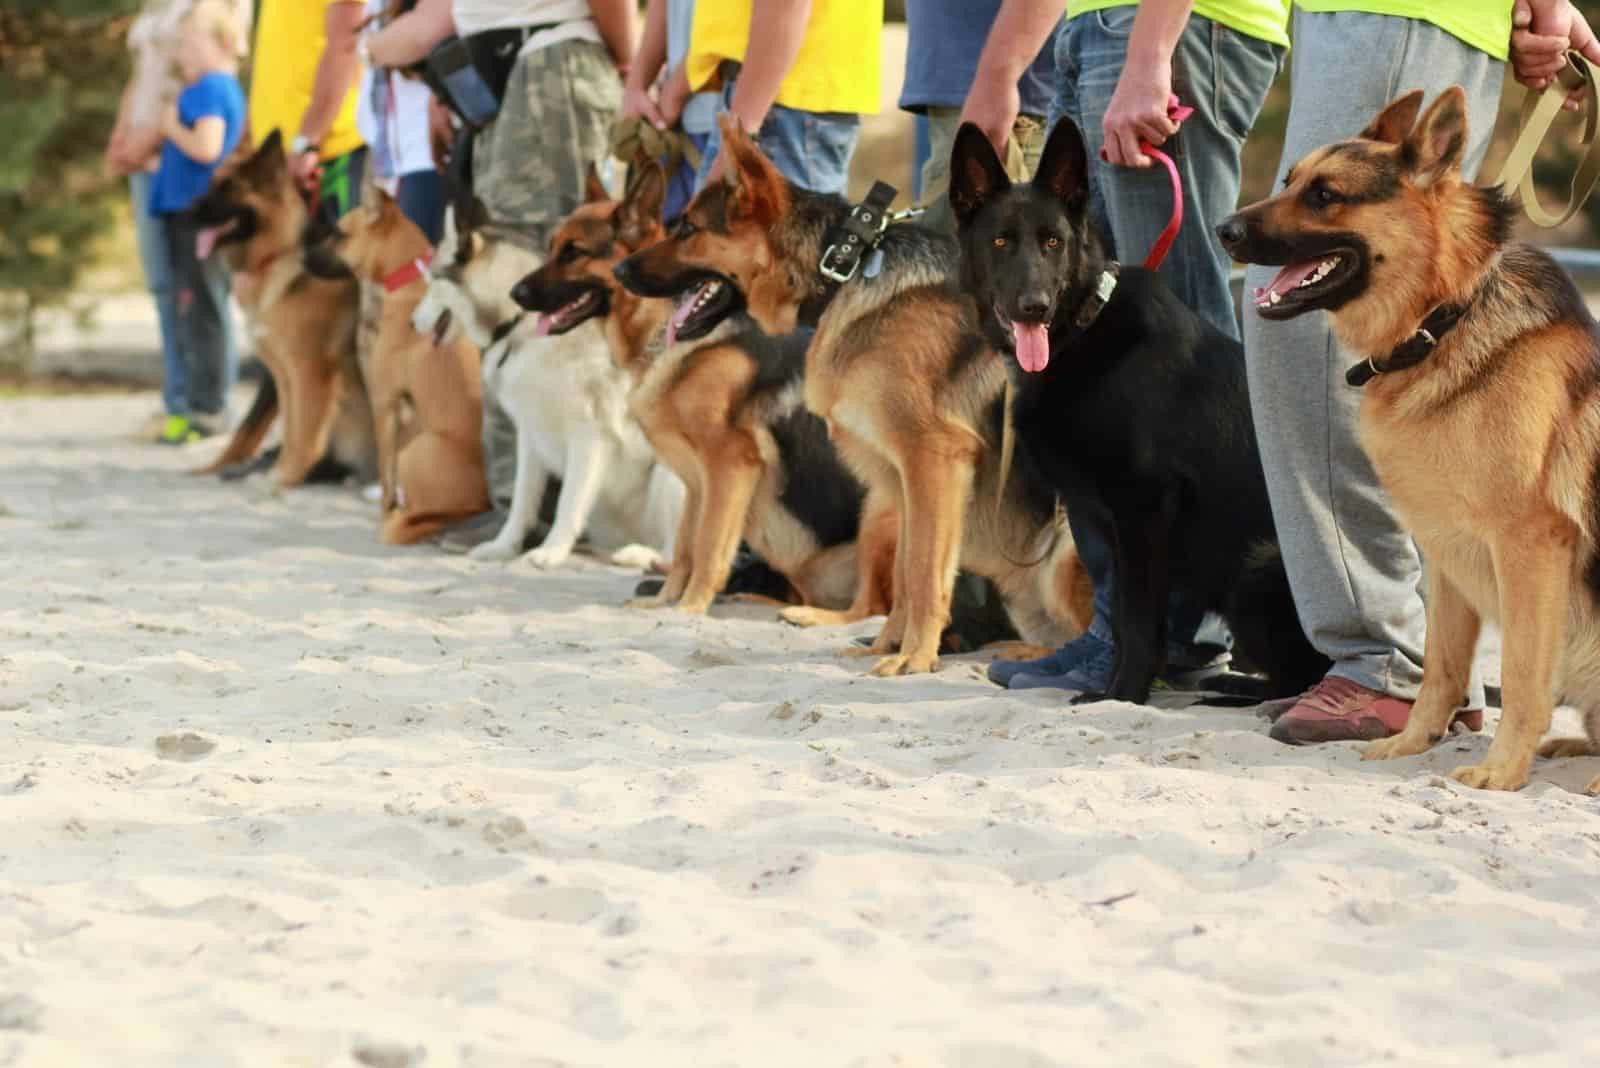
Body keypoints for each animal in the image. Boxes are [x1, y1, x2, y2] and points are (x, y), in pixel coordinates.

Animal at [188, 129, 376, 489]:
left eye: (228, 188)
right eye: (211, 185)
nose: (184, 212)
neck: (280, 253)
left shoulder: (308, 373)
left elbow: (302, 434)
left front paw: (284, 477)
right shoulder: (283, 376)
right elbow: (284, 430)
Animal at [304, 187, 489, 543]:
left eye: (339, 233)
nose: (301, 257)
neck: (407, 279)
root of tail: (481, 504)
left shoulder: (384, 404)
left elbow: (385, 470)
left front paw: (383, 509)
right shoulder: (405, 411)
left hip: (415, 450)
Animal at [521, 163, 908, 620]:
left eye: (573, 252)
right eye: (553, 248)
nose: (515, 294)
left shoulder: (730, 466)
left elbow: (708, 547)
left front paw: (690, 607)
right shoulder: (694, 482)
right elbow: (686, 546)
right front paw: (665, 601)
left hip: (882, 511)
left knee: (873, 606)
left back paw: (812, 617)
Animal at [614, 112, 1100, 671]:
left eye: (689, 229)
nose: (619, 270)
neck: (842, 267)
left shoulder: (934, 463)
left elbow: (926, 573)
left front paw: (914, 659)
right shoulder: (906, 479)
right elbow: (909, 575)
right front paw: (892, 646)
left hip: (1059, 546)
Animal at [947, 119, 1324, 700]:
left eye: (1053, 242)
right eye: (1001, 241)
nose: (1035, 307)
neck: (1083, 329)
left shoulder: (1143, 512)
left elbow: (1140, 620)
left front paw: (1123, 695)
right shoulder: (1112, 526)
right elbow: (1124, 618)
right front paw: (1113, 686)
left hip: (1255, 570)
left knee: (1305, 676)